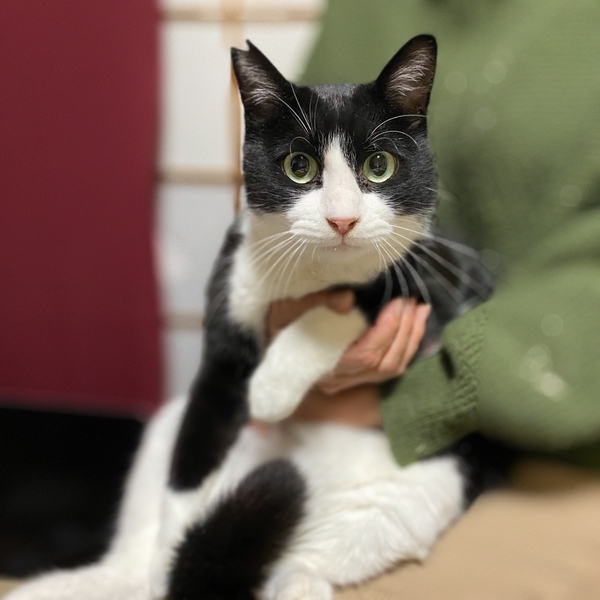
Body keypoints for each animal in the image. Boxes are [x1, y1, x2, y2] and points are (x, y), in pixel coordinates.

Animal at [8, 34, 501, 600]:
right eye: (298, 167)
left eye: (380, 165)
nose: (343, 219)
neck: (310, 272)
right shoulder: (228, 308)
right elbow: (190, 468)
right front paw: (168, 562)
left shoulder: (430, 279)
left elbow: (354, 301)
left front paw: (271, 387)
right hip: (162, 432)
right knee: (133, 558)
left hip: (418, 489)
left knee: (313, 558)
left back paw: (298, 578)